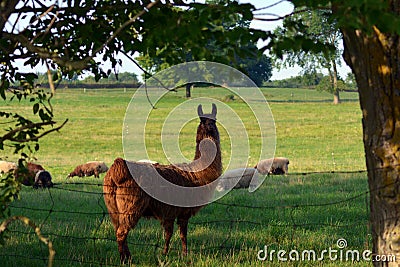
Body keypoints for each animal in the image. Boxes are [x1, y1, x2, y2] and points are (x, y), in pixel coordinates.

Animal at [103, 103, 222, 264]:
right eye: (203, 121)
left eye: (213, 120)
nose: (209, 127)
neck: (197, 173)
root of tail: (118, 167)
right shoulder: (181, 210)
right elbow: (181, 234)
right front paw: (183, 255)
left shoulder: (169, 211)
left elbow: (169, 233)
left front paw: (165, 253)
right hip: (131, 205)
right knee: (122, 232)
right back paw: (125, 259)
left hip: (113, 208)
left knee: (118, 230)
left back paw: (128, 256)